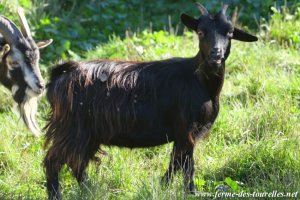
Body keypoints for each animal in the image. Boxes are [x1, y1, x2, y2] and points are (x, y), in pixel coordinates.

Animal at [44, 3, 258, 198]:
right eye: (200, 32)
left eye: (230, 32)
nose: (216, 54)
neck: (199, 81)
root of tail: (61, 73)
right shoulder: (187, 128)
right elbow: (188, 166)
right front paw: (190, 192)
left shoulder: (183, 133)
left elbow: (175, 162)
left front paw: (163, 187)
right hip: (72, 129)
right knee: (53, 161)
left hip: (88, 134)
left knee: (77, 164)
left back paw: (91, 192)